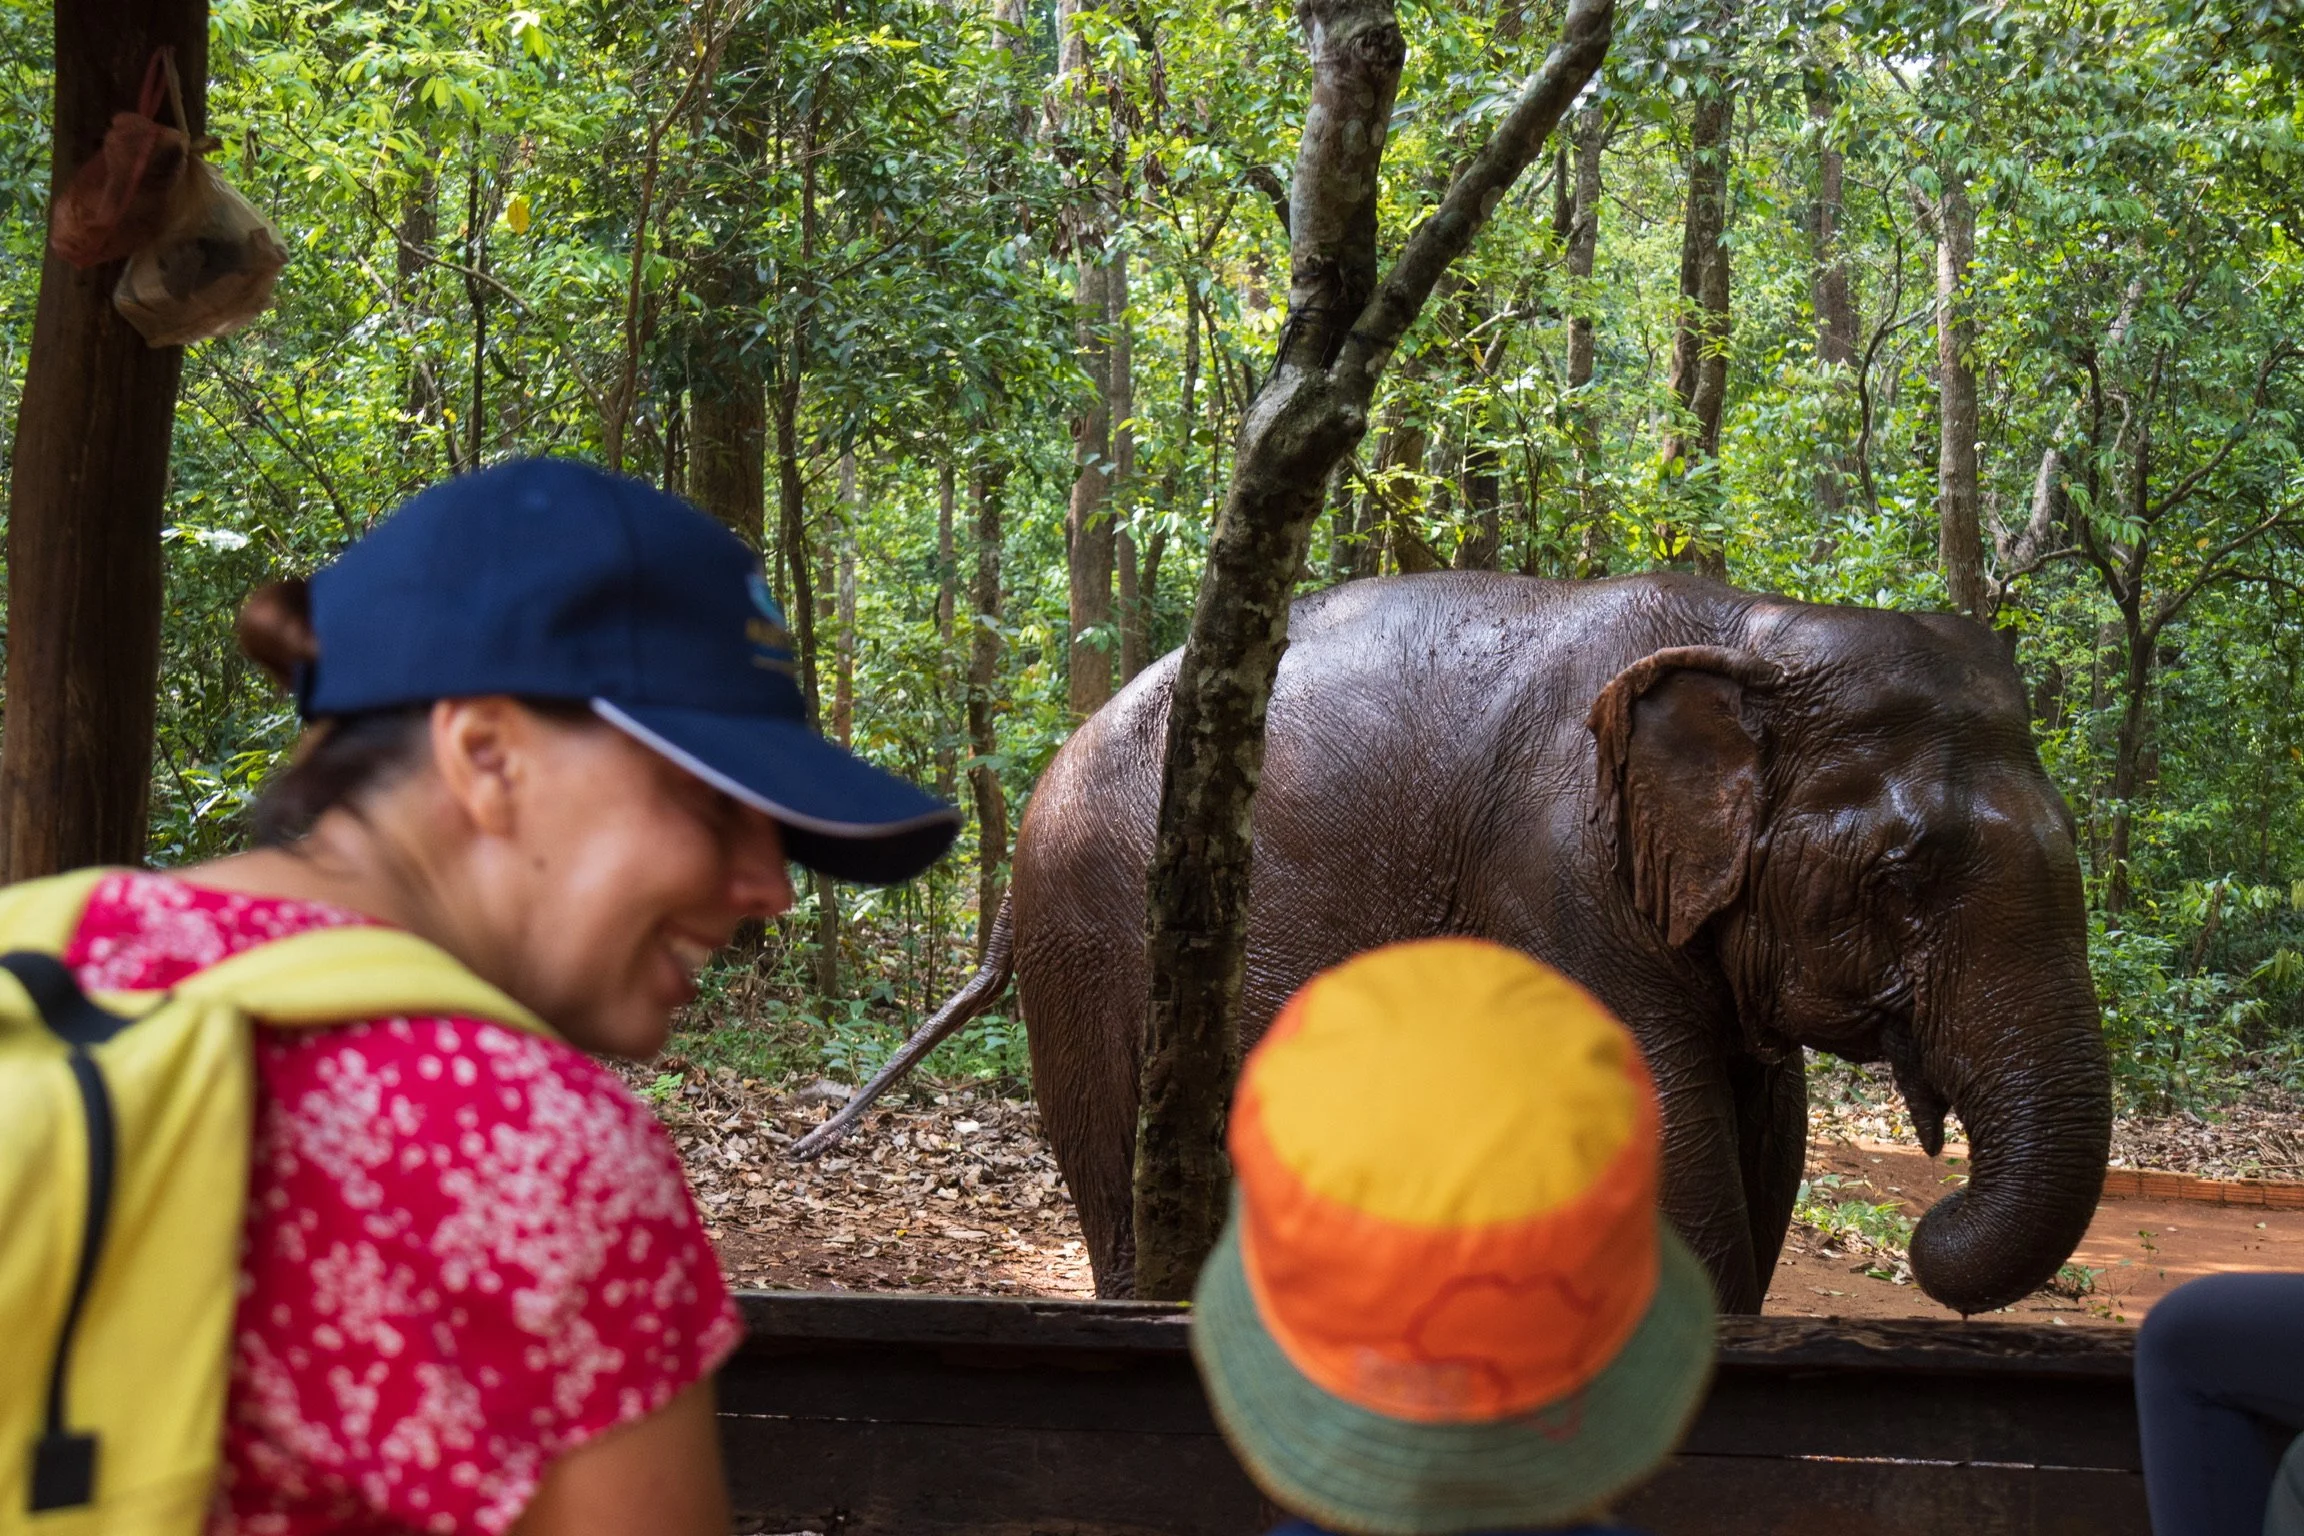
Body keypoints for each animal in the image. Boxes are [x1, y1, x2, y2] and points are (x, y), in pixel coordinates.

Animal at [796, 570, 2112, 1316]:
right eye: (1900, 874)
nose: (1931, 1229)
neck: (1753, 629)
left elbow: (1765, 1137)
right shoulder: (1557, 875)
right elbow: (1670, 1142)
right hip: (1091, 937)